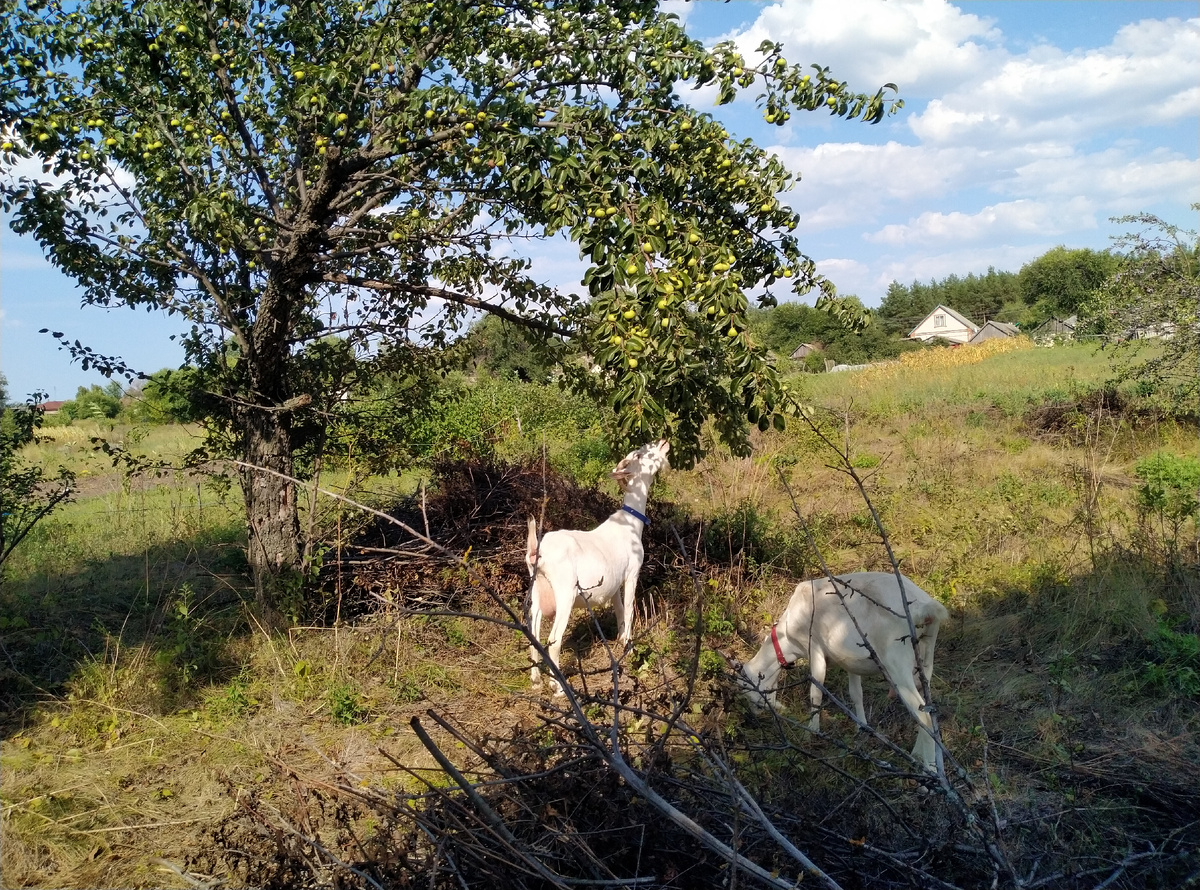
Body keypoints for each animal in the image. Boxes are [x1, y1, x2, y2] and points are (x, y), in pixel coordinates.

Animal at [528, 439, 672, 695]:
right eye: (639, 454)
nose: (662, 442)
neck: (630, 523)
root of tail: (538, 553)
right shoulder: (632, 573)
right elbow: (630, 609)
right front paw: (630, 649)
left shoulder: (613, 584)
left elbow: (620, 612)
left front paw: (621, 643)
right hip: (565, 593)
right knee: (554, 641)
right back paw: (558, 686)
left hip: (536, 593)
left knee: (533, 636)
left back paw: (536, 681)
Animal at [739, 575, 945, 772]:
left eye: (746, 689)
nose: (756, 717)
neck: (787, 640)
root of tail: (926, 608)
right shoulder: (850, 661)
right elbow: (856, 694)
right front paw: (861, 728)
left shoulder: (814, 648)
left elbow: (816, 692)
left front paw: (810, 733)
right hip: (925, 661)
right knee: (926, 709)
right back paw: (917, 755)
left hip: (897, 663)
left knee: (924, 717)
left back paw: (930, 770)